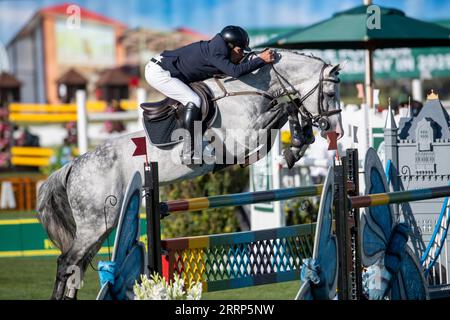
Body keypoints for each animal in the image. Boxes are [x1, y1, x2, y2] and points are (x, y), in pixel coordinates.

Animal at [37, 48, 342, 298]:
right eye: (329, 94)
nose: (333, 130)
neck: (249, 91)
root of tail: (74, 166)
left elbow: (287, 110)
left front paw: (298, 144)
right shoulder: (244, 140)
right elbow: (285, 108)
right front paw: (298, 138)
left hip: (101, 224)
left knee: (76, 265)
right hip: (96, 223)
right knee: (67, 262)